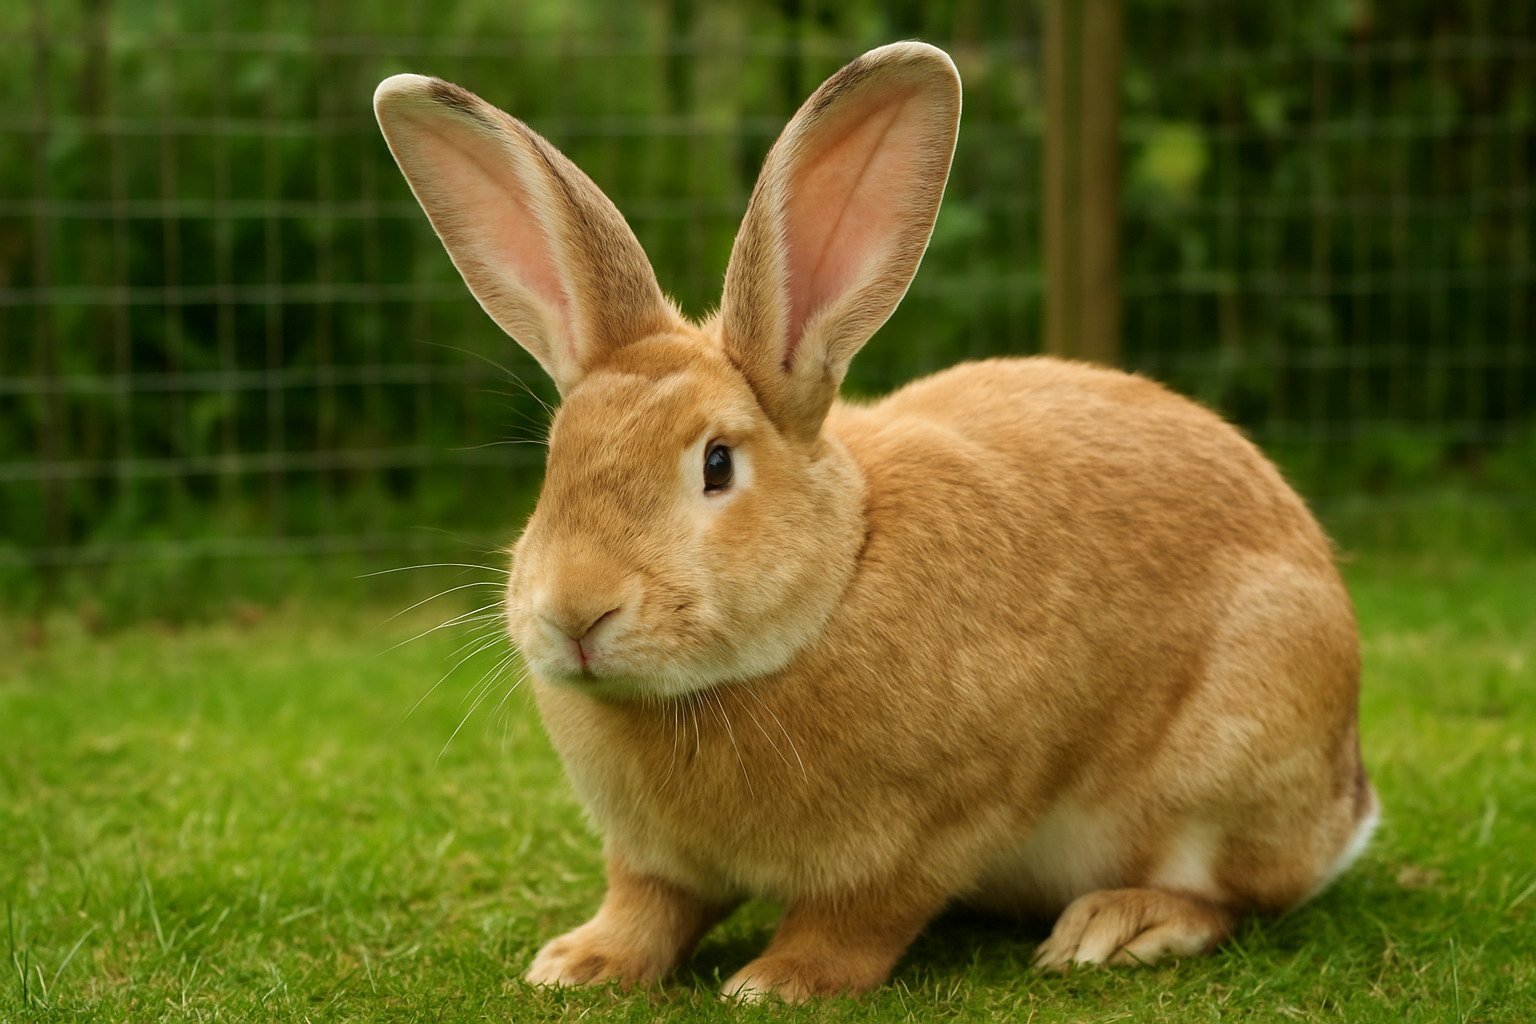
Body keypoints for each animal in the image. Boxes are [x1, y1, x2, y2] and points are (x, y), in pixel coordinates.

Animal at [373, 41, 1377, 1003]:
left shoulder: (935, 828)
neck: (836, 579)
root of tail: (1348, 803)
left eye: (716, 464)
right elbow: (648, 906)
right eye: (556, 462)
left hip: (1231, 760)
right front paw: (578, 964)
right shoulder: (654, 859)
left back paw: (1116, 927)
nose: (575, 613)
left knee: (1233, 893)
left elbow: (857, 919)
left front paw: (777, 981)